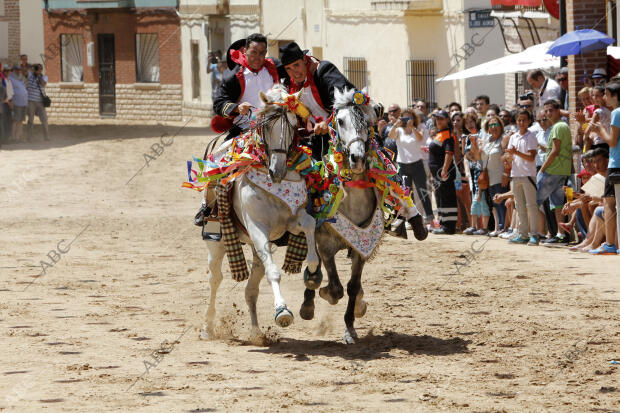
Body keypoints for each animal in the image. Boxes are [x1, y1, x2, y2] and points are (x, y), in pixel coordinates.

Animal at [202, 85, 322, 340]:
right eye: (267, 125)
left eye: (294, 125)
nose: (278, 171)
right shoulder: (258, 229)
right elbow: (274, 273)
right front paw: (283, 312)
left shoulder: (291, 221)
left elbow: (308, 225)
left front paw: (313, 273)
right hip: (217, 242)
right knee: (215, 279)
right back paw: (208, 328)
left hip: (255, 249)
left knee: (251, 289)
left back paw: (256, 332)